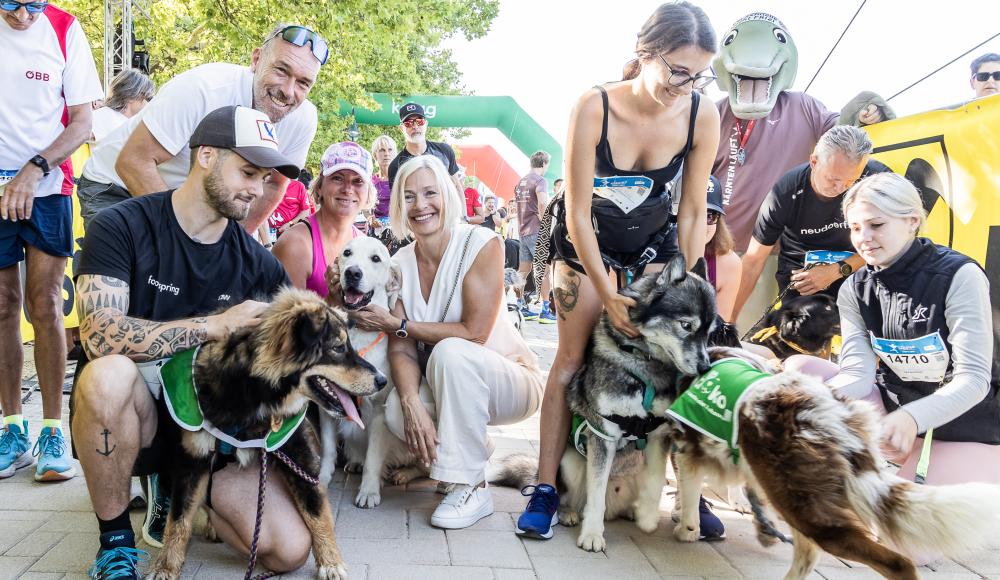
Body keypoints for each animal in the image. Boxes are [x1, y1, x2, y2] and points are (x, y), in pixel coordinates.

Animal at [149, 288, 386, 580]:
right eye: (338, 348)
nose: (383, 380)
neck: (254, 396)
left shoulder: (299, 453)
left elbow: (317, 512)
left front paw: (331, 561)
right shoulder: (192, 460)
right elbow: (178, 519)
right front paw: (166, 565)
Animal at [668, 346, 1000, 576]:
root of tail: (836, 418)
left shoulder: (685, 450)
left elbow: (689, 496)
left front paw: (687, 529)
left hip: (807, 509)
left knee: (897, 563)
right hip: (796, 499)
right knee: (808, 555)